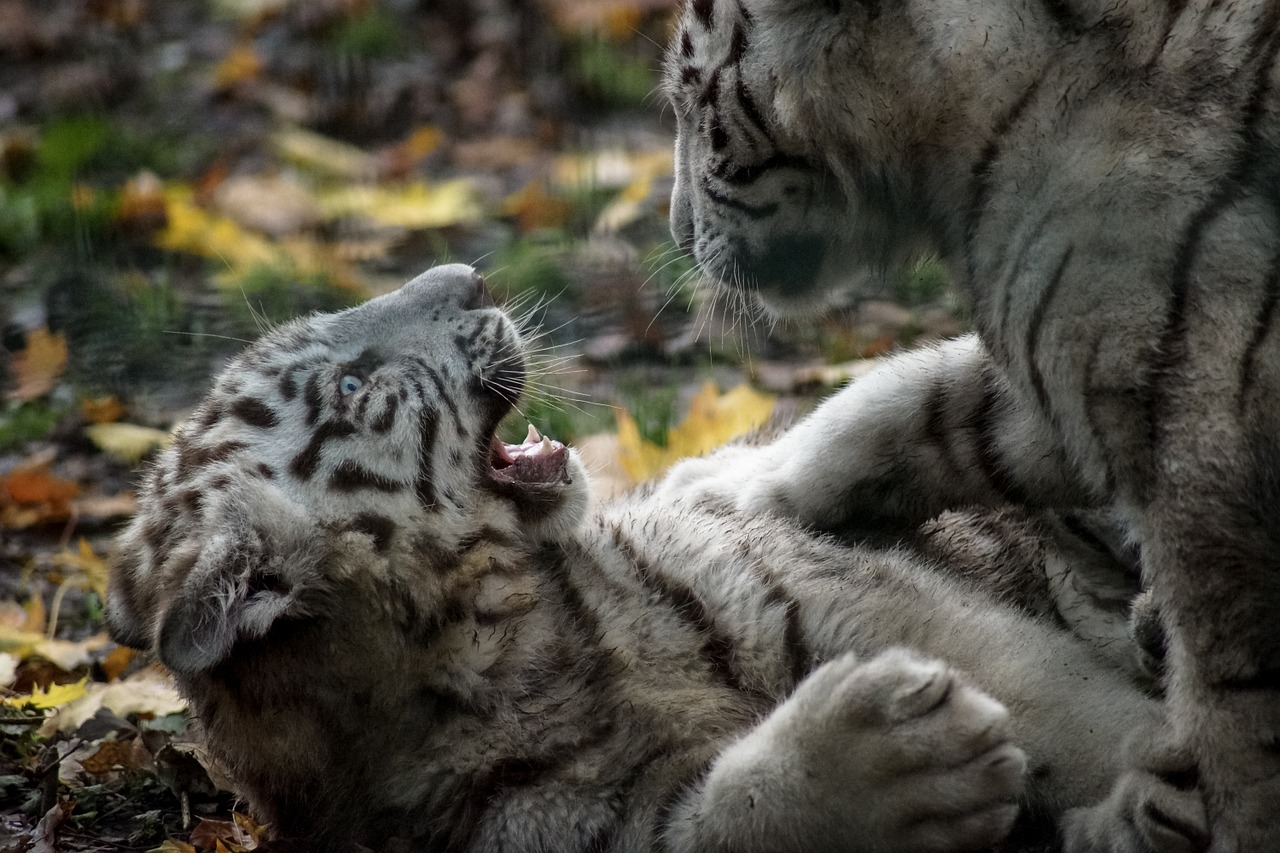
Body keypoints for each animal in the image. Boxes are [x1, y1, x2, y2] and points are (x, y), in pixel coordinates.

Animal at [112, 262, 1198, 845]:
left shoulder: (847, 591)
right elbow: (723, 821)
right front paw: (899, 756)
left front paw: (1168, 767)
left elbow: (1079, 713)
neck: (504, 648)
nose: (469, 275)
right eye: (348, 385)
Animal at [665, 3, 1280, 845]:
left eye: (693, 102)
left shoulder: (1207, 459)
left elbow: (1236, 720)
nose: (674, 231)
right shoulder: (1083, 363)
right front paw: (731, 484)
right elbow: (932, 400)